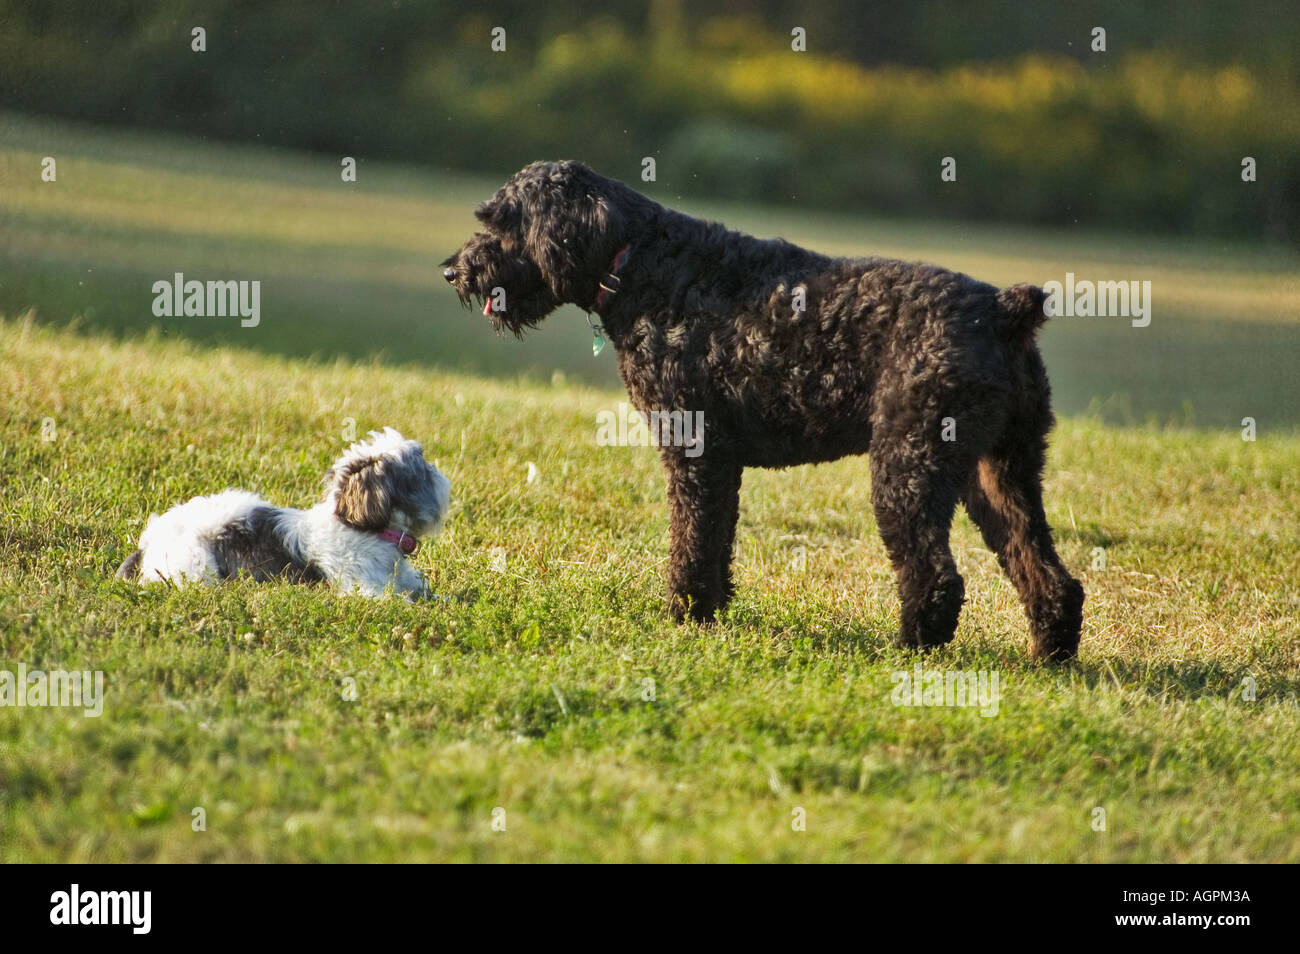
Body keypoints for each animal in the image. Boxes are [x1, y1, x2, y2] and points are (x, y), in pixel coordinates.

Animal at [116, 431, 452, 597]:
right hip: (197, 568)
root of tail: (149, 544)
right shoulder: (365, 588)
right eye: (422, 471)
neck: (366, 530)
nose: (442, 475)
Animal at [447, 160, 1086, 660]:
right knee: (1048, 574)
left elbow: (692, 539)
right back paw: (1049, 655)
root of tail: (1004, 311)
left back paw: (908, 649)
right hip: (1001, 474)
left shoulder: (693, 450)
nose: (454, 269)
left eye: (504, 223)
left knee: (937, 577)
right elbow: (714, 539)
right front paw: (709, 614)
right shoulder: (718, 461)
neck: (644, 264)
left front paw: (683, 614)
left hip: (909, 468)